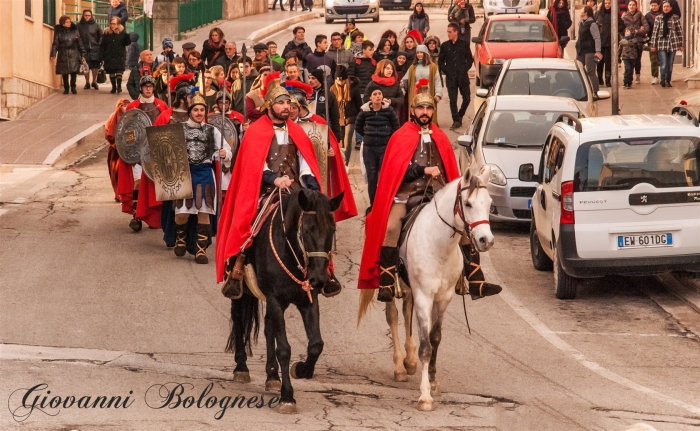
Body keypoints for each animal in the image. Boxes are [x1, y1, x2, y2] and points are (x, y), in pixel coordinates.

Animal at [226, 189, 344, 416]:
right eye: (307, 229)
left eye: (332, 229)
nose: (319, 279)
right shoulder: (275, 300)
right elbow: (284, 349)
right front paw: (287, 397)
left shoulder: (307, 300)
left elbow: (316, 344)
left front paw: (301, 369)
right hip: (242, 291)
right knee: (238, 320)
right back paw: (241, 367)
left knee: (268, 327)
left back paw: (272, 376)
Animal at [358, 166, 494, 412]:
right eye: (468, 204)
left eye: (489, 203)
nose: (485, 240)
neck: (439, 246)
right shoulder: (424, 296)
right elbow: (426, 347)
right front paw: (425, 396)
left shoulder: (443, 298)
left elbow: (435, 338)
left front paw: (433, 381)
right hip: (392, 284)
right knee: (393, 316)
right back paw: (400, 367)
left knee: (406, 310)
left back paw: (410, 361)